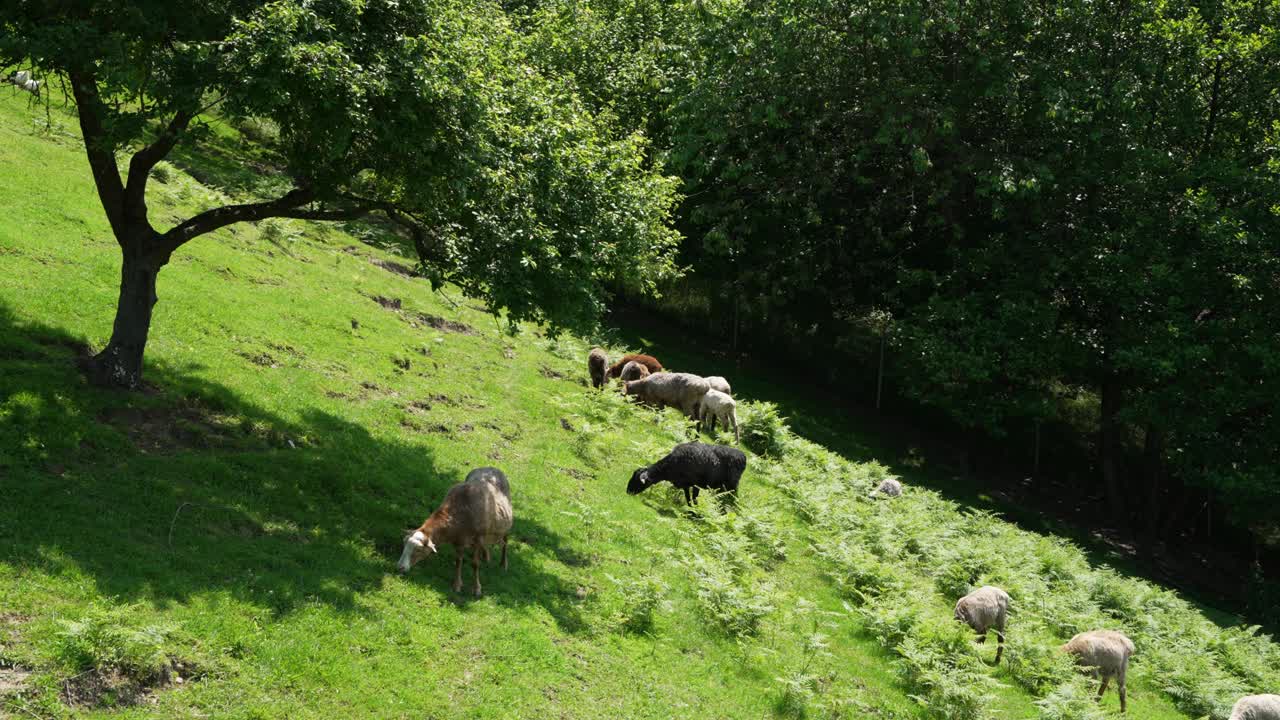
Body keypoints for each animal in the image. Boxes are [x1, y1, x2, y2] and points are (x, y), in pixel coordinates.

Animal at [396, 466, 512, 594]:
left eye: (418, 550)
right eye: (404, 545)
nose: (400, 567)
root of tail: (490, 467)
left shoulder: (477, 538)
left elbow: (475, 564)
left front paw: (476, 588)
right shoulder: (459, 540)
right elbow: (458, 562)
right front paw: (457, 585)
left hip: (505, 524)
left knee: (505, 542)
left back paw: (503, 564)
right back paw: (486, 556)